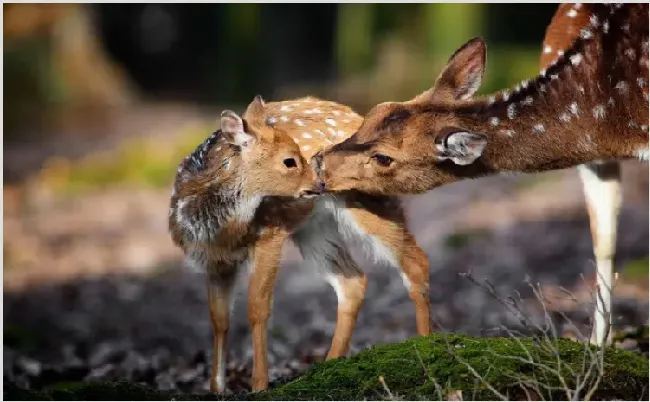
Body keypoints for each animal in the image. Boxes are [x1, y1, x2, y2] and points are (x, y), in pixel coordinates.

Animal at [170, 96, 428, 392]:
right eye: (289, 161)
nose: (319, 180)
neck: (220, 229)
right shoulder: (214, 261)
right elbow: (218, 318)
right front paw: (217, 389)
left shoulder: (270, 233)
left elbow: (257, 308)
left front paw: (259, 385)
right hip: (314, 229)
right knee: (353, 280)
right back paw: (330, 363)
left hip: (368, 200)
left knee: (415, 261)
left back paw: (427, 345)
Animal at [312, 3, 644, 346]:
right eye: (373, 113)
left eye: (383, 158)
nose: (318, 160)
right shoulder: (595, 158)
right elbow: (604, 241)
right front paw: (597, 347)